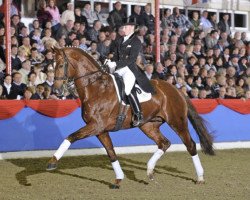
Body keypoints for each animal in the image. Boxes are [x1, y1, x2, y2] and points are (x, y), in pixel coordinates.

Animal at [47, 47, 215, 188]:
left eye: (61, 65)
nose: (56, 90)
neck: (96, 88)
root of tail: (176, 89)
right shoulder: (100, 129)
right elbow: (111, 153)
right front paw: (118, 179)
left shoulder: (95, 126)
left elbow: (71, 137)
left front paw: (52, 162)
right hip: (148, 125)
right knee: (164, 143)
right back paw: (150, 171)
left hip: (177, 122)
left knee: (190, 145)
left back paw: (200, 177)